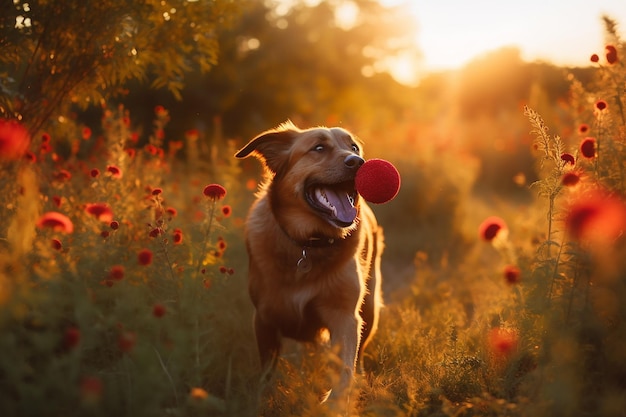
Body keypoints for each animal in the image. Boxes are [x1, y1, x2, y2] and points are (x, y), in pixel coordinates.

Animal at [234, 120, 380, 396]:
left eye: (354, 147)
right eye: (319, 148)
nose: (358, 162)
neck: (308, 243)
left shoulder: (345, 317)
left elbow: (345, 369)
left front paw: (336, 400)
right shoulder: (264, 318)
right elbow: (267, 371)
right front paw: (262, 395)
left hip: (370, 305)